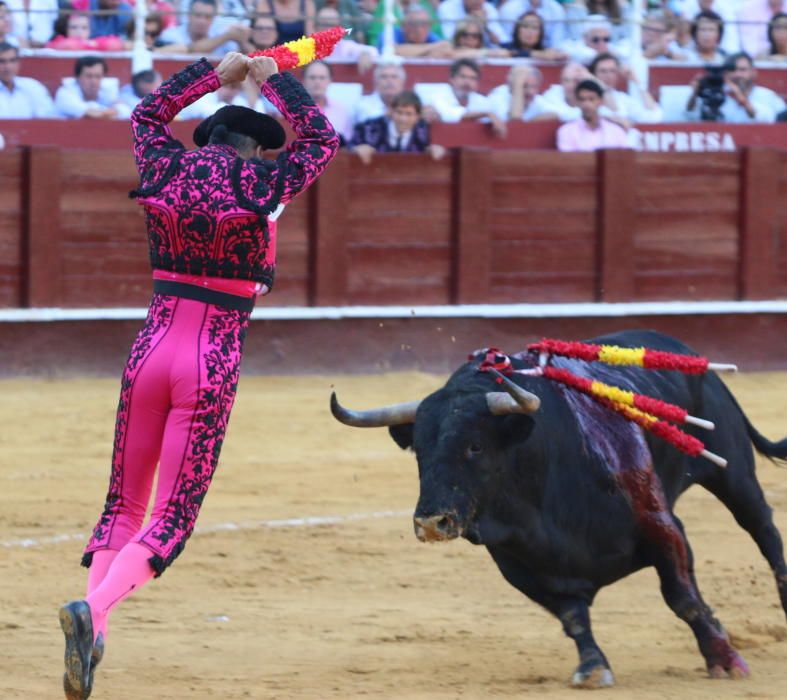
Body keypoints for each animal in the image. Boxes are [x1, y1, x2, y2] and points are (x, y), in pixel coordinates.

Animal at [330, 330, 787, 688]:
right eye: (419, 452)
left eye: (475, 445)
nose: (431, 522)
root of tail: (682, 350)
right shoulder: (520, 563)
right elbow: (572, 616)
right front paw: (593, 668)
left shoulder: (662, 525)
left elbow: (683, 597)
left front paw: (725, 660)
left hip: (734, 472)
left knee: (764, 531)